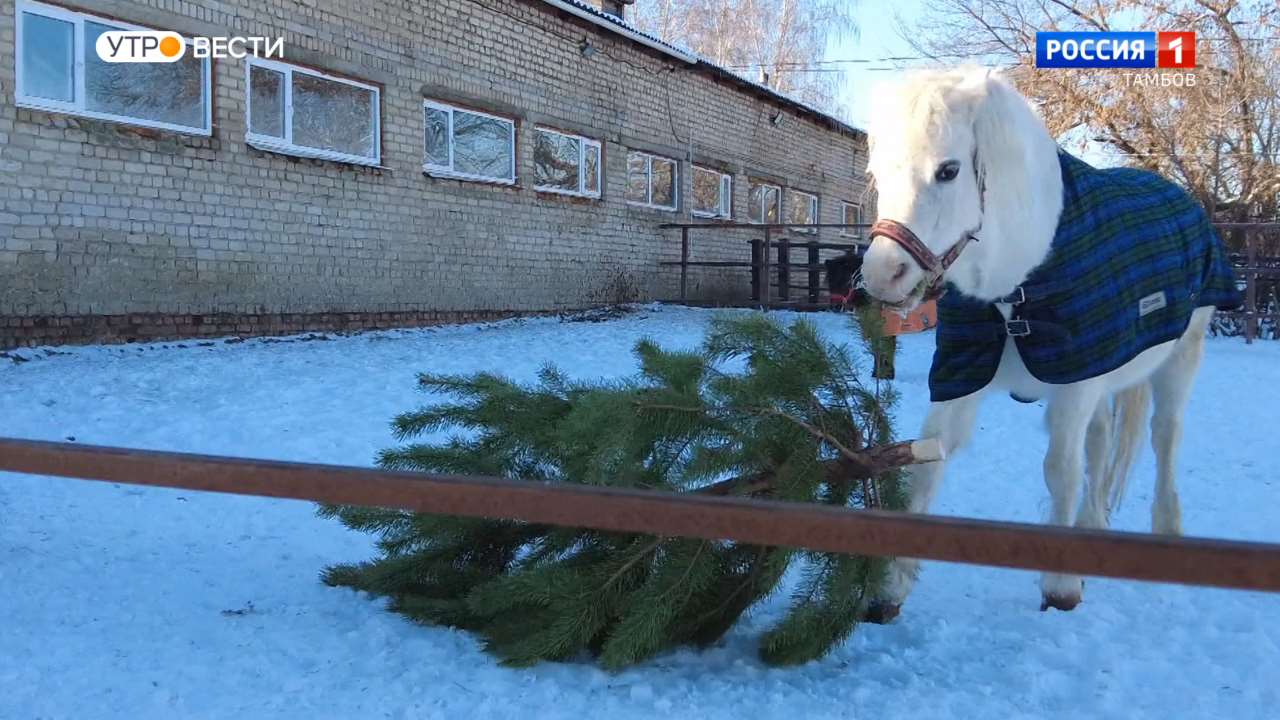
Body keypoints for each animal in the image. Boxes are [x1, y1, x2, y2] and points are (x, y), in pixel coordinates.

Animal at [855, 70, 1223, 614]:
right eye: (879, 174)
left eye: (948, 170)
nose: (884, 275)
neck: (1018, 281)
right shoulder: (963, 378)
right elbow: (925, 462)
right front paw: (891, 586)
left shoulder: (1074, 385)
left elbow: (1061, 471)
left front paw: (1061, 584)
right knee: (1102, 444)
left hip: (1179, 359)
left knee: (1164, 439)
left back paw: (1165, 537)